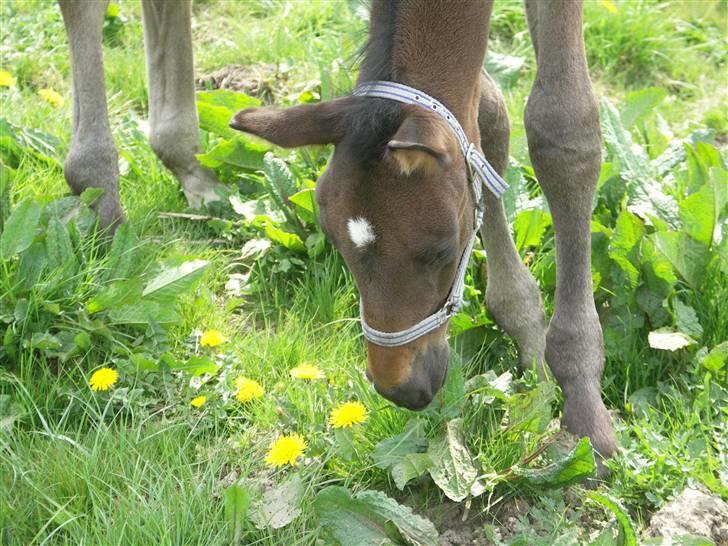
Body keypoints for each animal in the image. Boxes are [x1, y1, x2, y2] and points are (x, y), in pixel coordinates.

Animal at [59, 0, 617, 464]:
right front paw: (535, 343)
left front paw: (577, 398)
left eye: (442, 251)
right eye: (337, 244)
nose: (399, 389)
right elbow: (490, 115)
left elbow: (559, 127)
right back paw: (110, 195)